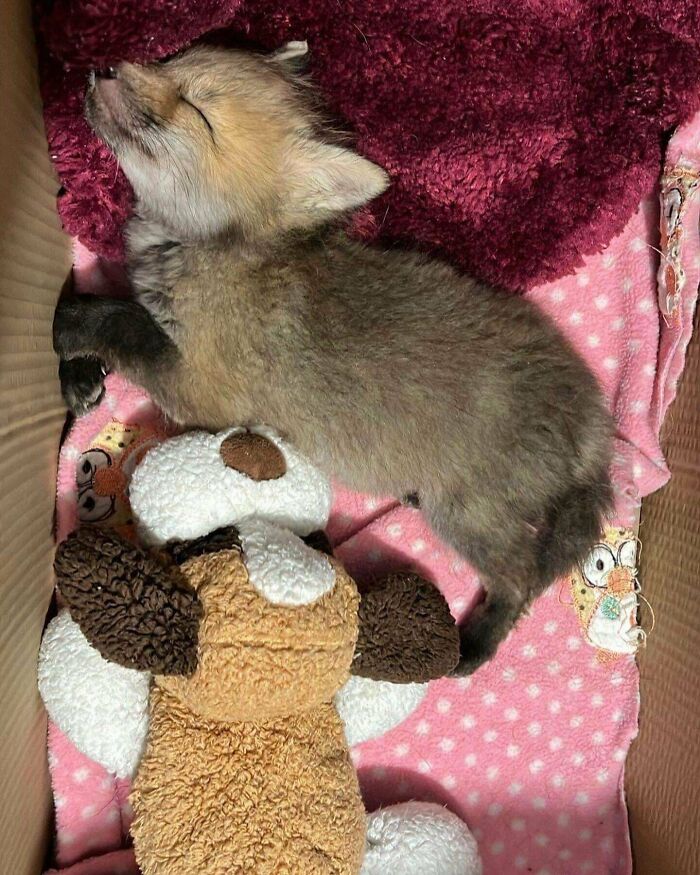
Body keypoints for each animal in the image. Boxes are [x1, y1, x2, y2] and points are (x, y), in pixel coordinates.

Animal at [54, 42, 614, 675]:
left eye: (197, 110)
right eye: (170, 61)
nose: (104, 68)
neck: (215, 248)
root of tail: (592, 417)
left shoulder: (197, 387)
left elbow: (111, 318)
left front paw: (66, 328)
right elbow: (108, 301)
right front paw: (77, 374)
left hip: (466, 516)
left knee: (520, 580)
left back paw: (475, 647)